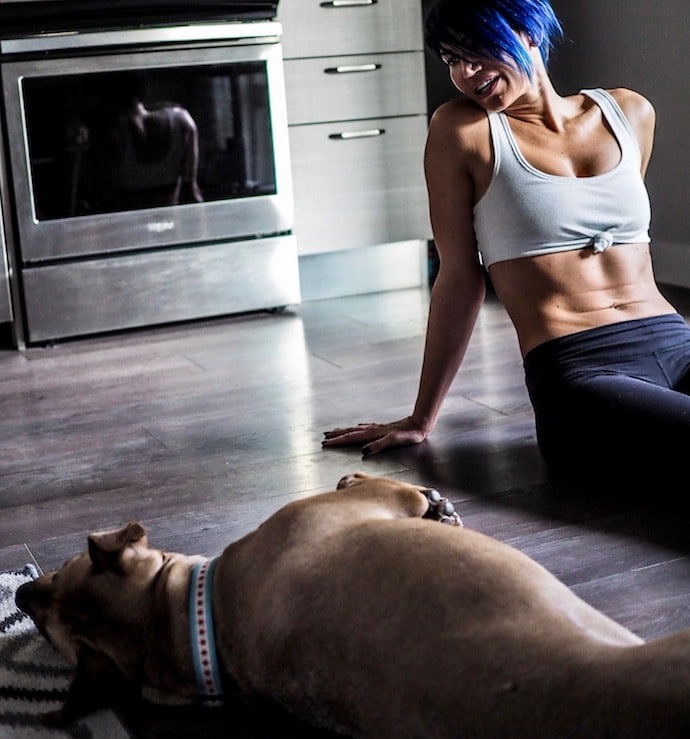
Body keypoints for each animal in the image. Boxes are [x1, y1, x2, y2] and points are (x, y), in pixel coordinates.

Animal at [14, 474, 690, 739]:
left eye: (57, 581)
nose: (20, 593)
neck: (195, 621)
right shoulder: (373, 499)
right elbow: (383, 486)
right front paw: (428, 502)